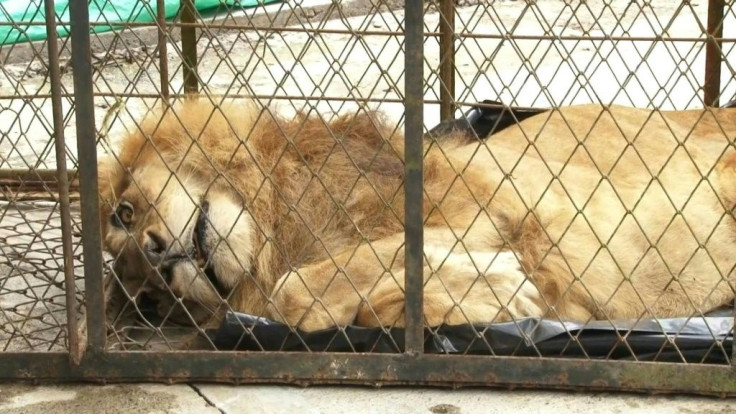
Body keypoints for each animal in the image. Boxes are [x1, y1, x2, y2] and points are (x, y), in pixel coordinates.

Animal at [98, 98, 736, 332]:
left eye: (125, 213)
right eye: (153, 301)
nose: (158, 260)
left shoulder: (504, 211)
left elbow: (297, 286)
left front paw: (503, 284)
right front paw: (494, 298)